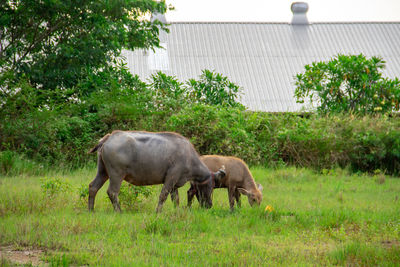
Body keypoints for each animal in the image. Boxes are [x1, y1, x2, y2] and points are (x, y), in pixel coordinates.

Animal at [88, 130, 225, 214]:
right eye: (210, 187)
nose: (209, 205)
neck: (188, 156)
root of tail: (110, 137)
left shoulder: (174, 184)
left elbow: (175, 199)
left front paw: (177, 211)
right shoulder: (171, 178)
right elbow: (163, 195)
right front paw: (158, 211)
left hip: (102, 172)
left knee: (93, 187)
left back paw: (91, 210)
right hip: (116, 174)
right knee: (112, 192)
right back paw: (119, 211)